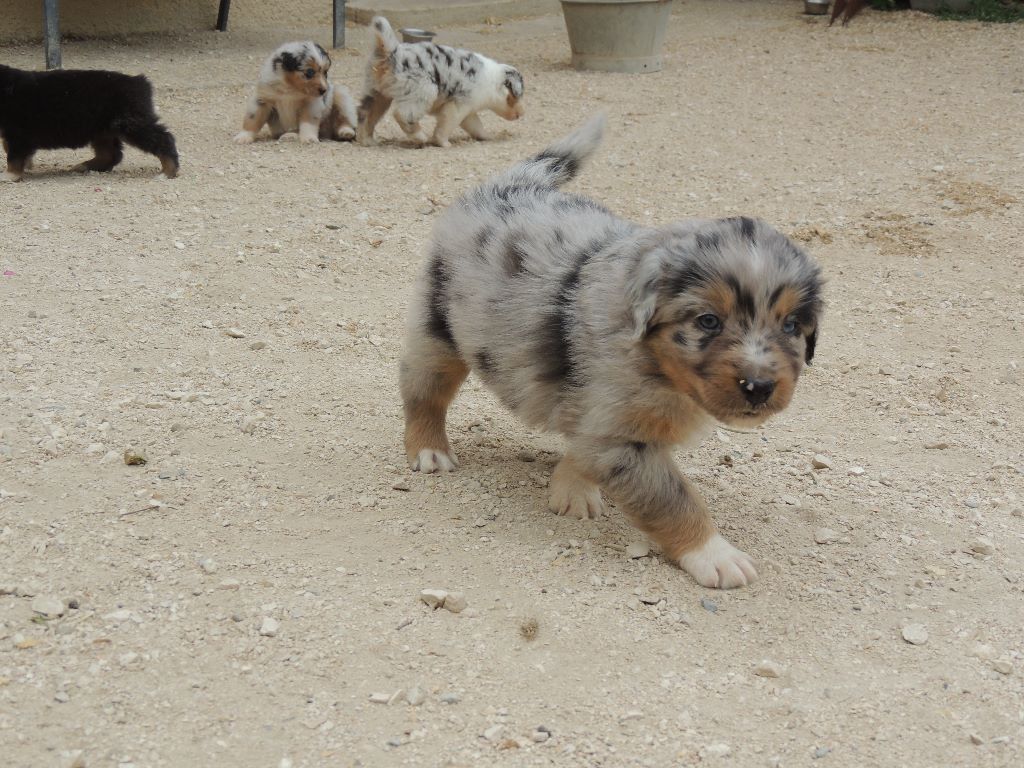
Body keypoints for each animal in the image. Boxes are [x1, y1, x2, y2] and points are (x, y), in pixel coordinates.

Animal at [0, 63, 179, 182]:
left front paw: (10, 175)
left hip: (130, 124)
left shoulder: (19, 134)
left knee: (164, 139)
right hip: (103, 130)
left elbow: (13, 157)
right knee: (111, 154)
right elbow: (9, 148)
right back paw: (84, 166)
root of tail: (139, 82)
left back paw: (167, 172)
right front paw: (26, 165)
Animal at [356, 14, 524, 147]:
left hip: (377, 94)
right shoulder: (457, 107)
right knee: (402, 115)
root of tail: (392, 51)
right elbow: (445, 127)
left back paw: (366, 140)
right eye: (515, 96)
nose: (522, 114)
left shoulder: (468, 111)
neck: (492, 81)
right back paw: (420, 137)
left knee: (365, 114)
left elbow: (477, 126)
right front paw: (443, 143)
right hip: (423, 91)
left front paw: (488, 136)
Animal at [399, 117, 823, 593]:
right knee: (422, 391)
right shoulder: (621, 437)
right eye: (708, 321)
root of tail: (509, 185)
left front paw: (570, 490)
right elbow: (673, 499)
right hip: (438, 331)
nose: (759, 386)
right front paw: (716, 555)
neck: (659, 368)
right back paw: (429, 451)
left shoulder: (602, 424)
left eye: (792, 326)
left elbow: (584, 452)